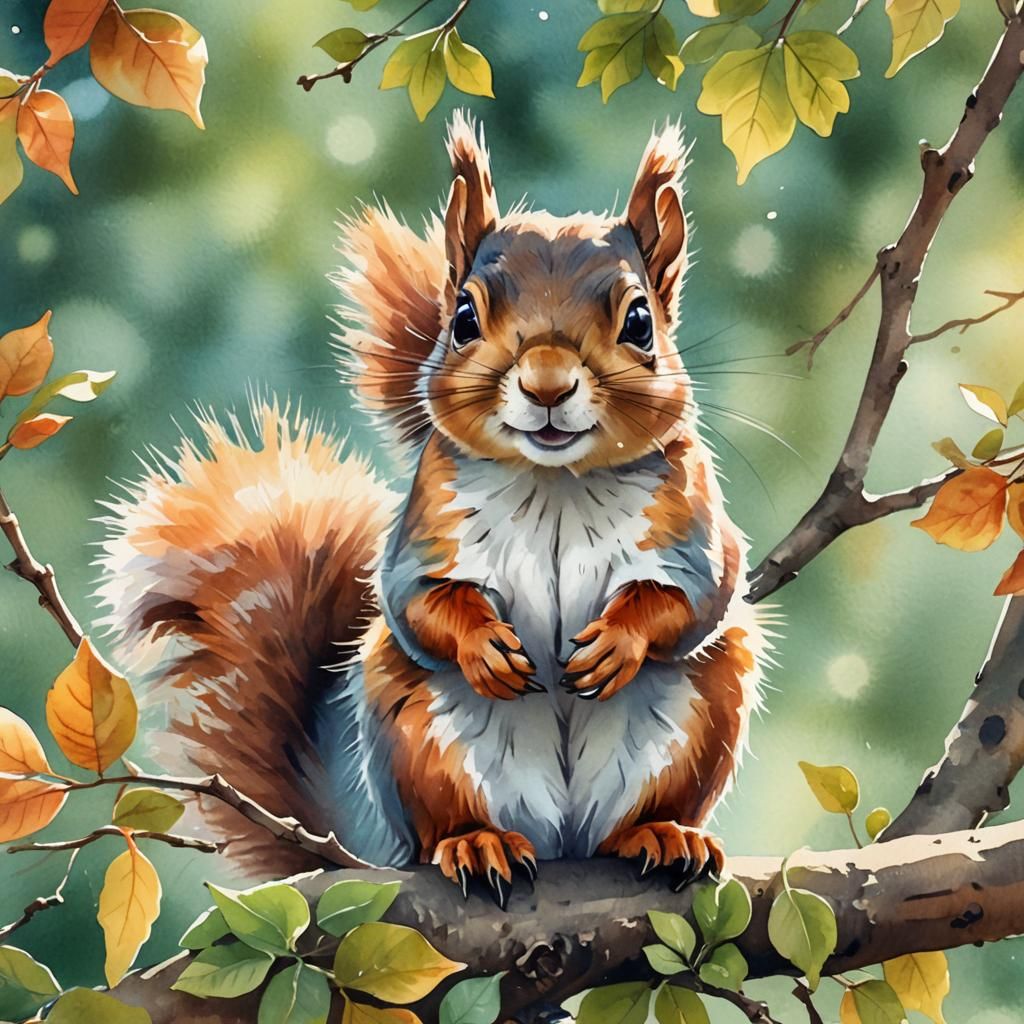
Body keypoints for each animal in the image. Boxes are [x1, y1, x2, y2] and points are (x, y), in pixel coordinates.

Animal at [95, 113, 765, 908]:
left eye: (640, 322)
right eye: (465, 317)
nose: (545, 386)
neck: (557, 485)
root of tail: (562, 838)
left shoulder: (694, 527)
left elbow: (698, 597)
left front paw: (617, 641)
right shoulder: (425, 532)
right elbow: (416, 600)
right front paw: (483, 646)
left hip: (702, 714)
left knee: (641, 805)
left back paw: (660, 833)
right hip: (421, 739)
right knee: (448, 820)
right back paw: (476, 843)